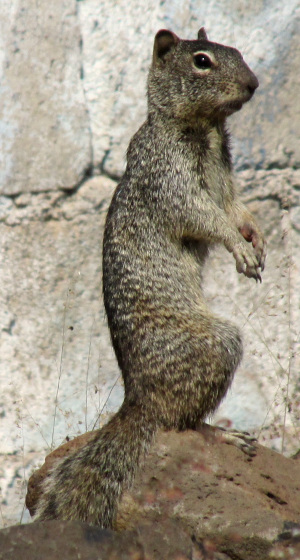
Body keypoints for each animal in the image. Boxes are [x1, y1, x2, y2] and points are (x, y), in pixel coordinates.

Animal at [34, 28, 266, 528]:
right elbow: (207, 217)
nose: (254, 84)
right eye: (202, 61)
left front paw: (256, 239)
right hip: (218, 343)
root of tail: (139, 399)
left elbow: (237, 208)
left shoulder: (228, 182)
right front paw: (239, 248)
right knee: (182, 423)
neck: (208, 129)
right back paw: (224, 435)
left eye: (237, 52)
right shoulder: (171, 179)